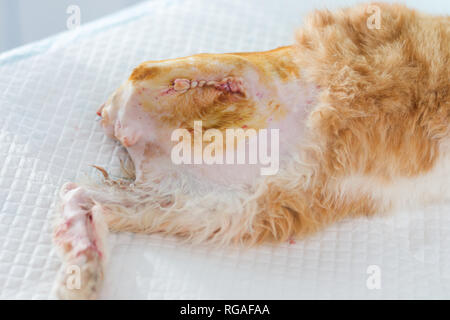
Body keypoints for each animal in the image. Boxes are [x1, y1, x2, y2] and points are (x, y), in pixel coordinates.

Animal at [53, 2, 450, 298]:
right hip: (256, 71)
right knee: (170, 72)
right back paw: (202, 86)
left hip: (204, 206)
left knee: (80, 196)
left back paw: (83, 260)